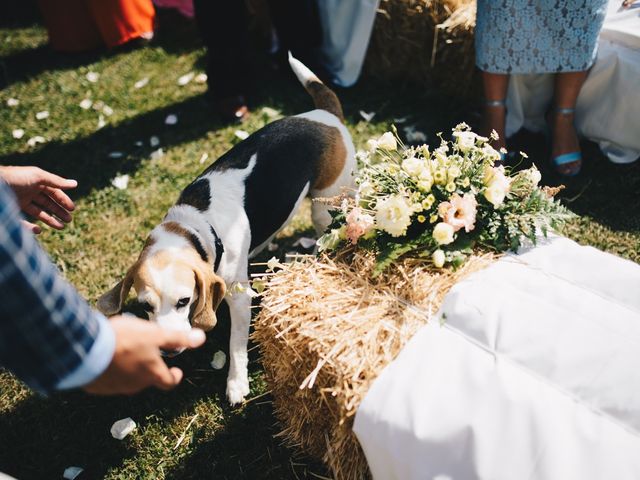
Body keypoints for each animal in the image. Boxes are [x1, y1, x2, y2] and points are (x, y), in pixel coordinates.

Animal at [97, 53, 356, 404]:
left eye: (184, 301)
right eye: (146, 306)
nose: (170, 350)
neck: (195, 225)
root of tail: (325, 115)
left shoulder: (239, 295)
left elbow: (236, 344)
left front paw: (236, 383)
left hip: (326, 204)